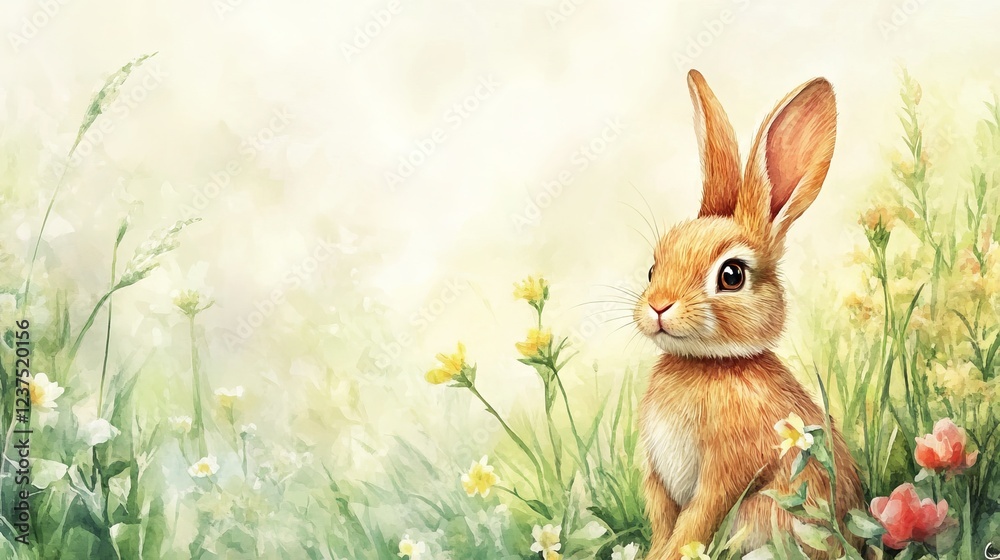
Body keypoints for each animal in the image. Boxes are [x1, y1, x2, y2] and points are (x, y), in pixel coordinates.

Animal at [634, 69, 866, 559]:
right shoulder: (656, 477)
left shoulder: (727, 472)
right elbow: (663, 522)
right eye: (652, 269)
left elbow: (695, 521)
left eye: (732, 275)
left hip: (763, 513)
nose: (658, 306)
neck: (708, 363)